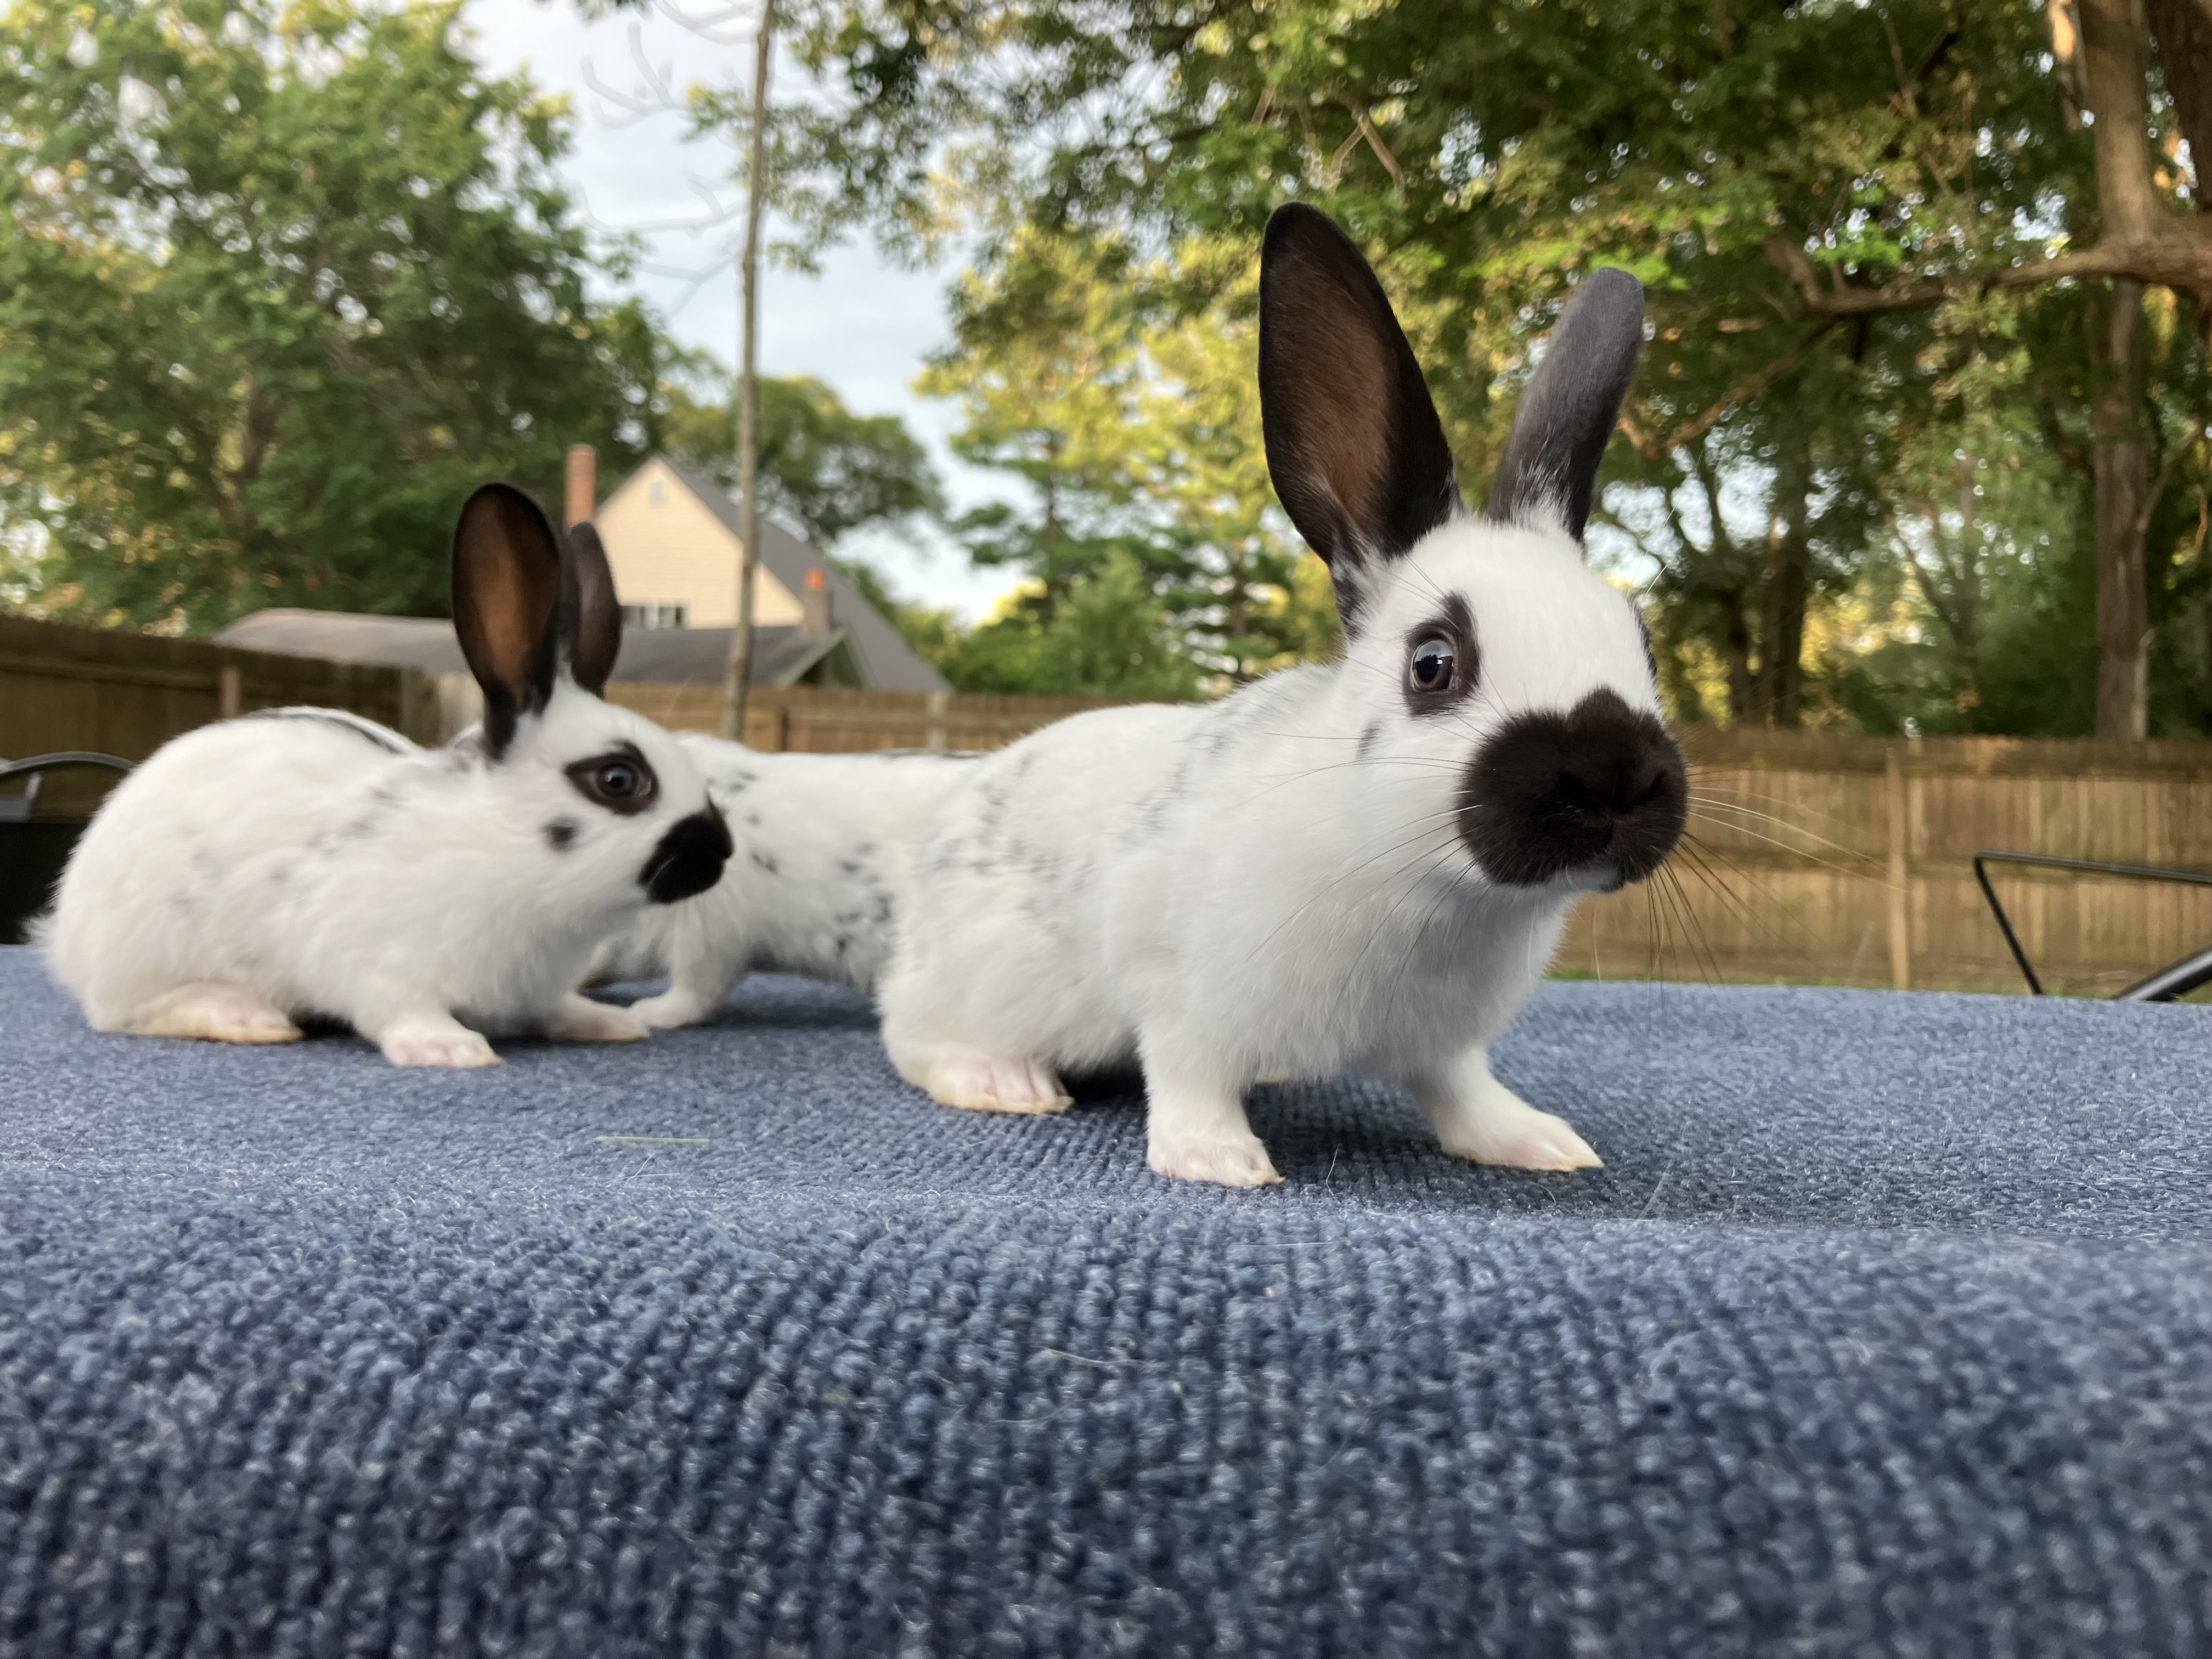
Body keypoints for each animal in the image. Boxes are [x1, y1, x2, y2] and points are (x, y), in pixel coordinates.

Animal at [38, 484, 734, 1067]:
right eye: (618, 780)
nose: (722, 851)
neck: (504, 854)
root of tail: (66, 937)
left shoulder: (533, 988)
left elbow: (552, 1008)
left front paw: (607, 1023)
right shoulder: (375, 963)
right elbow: (399, 1010)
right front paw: (452, 1049)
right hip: (143, 953)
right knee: (124, 1011)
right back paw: (245, 1016)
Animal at [875, 203, 1686, 1186]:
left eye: (1642, 642)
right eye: (1433, 663)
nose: (1616, 778)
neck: (1428, 882)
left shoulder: (1445, 1045)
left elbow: (1461, 1092)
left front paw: (1537, 1142)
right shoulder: (1176, 989)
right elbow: (1188, 1073)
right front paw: (1218, 1159)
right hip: (977, 980)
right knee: (907, 1034)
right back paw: (1004, 1081)